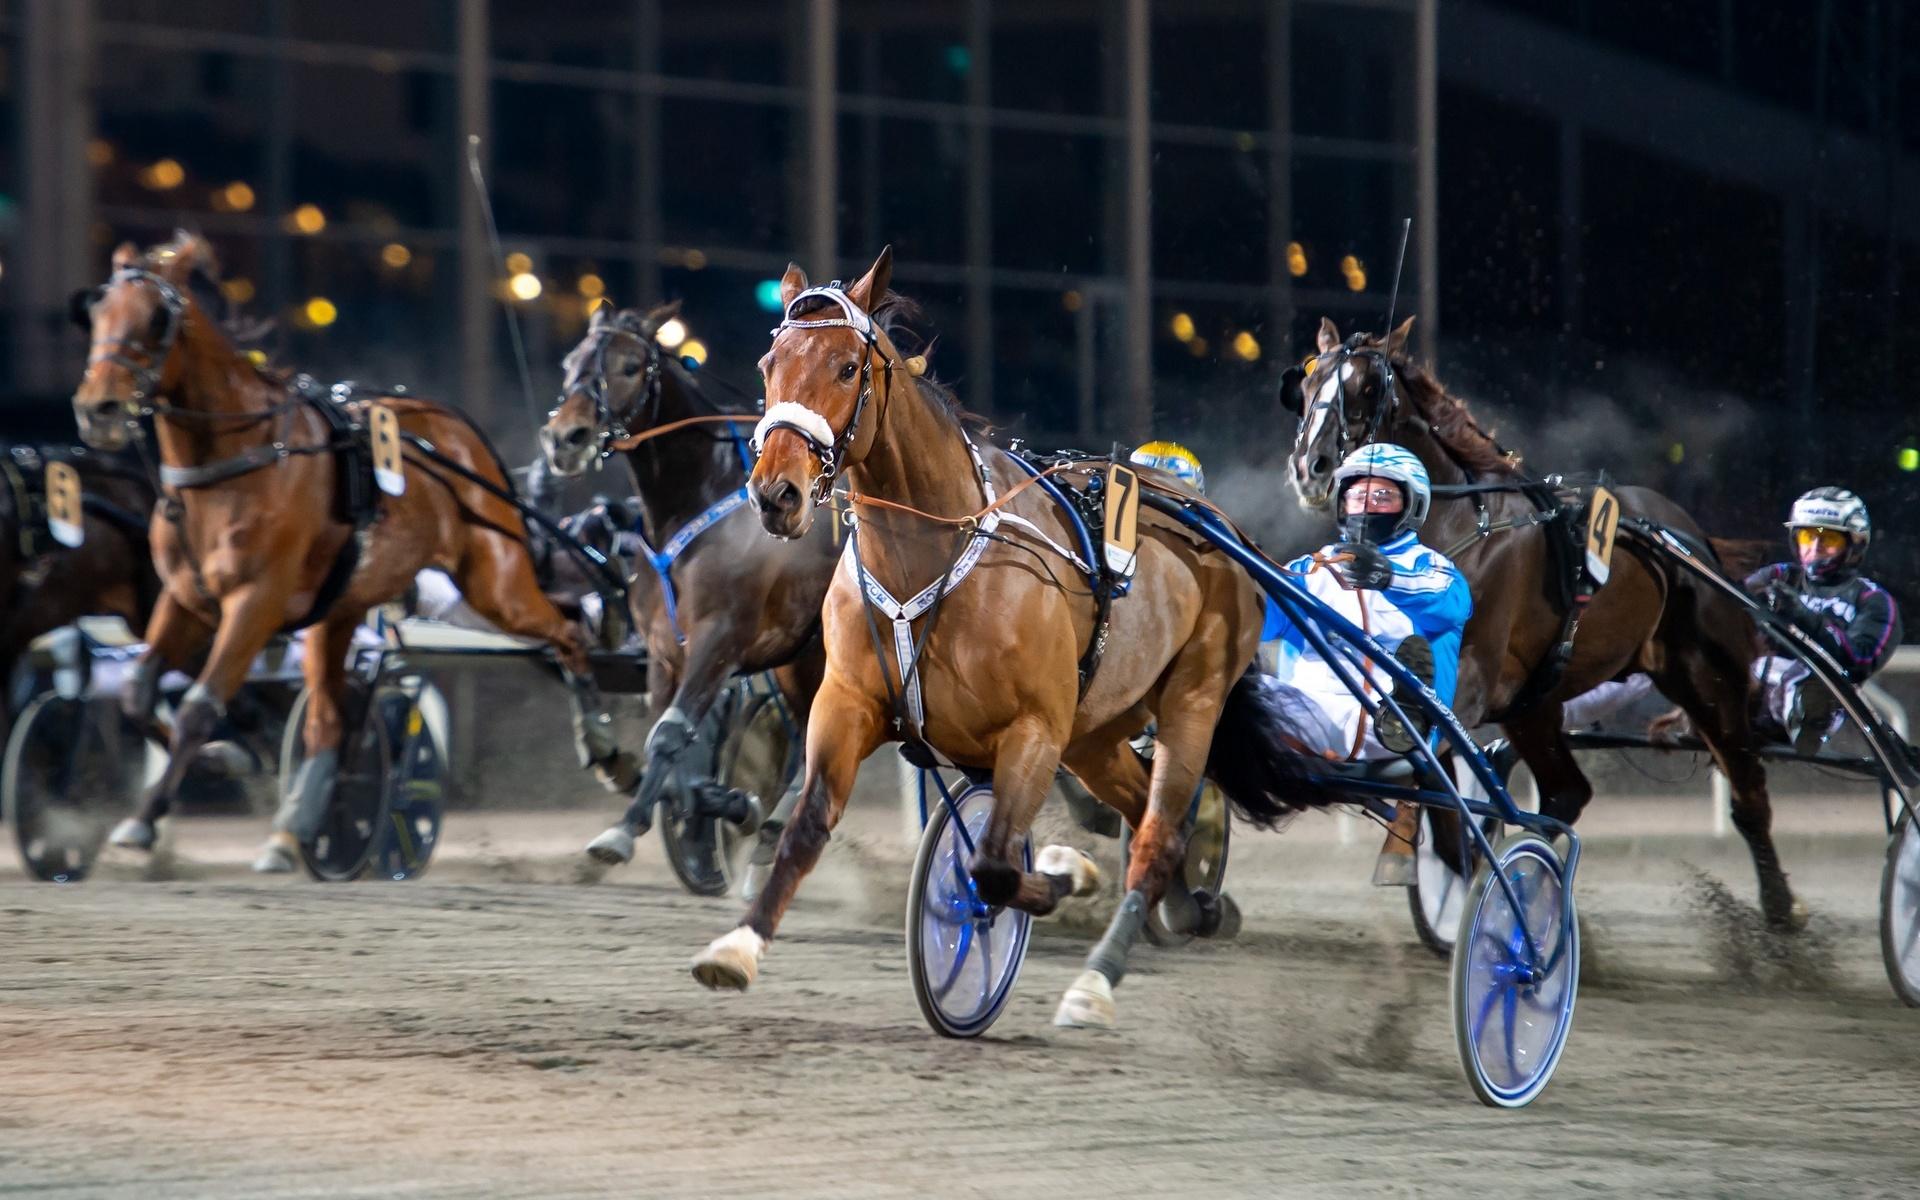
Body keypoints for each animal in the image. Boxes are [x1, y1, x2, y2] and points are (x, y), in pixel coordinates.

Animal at [72, 234, 637, 871]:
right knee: (327, 720)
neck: (234, 461)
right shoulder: (187, 598)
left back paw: (604, 744)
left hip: (495, 584)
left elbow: (197, 705)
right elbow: (139, 693)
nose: (98, 409)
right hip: (338, 612)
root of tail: (456, 429)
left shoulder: (256, 602)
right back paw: (293, 830)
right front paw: (223, 757)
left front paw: (143, 820)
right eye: (97, 312)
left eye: (156, 318)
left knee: (567, 632)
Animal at [545, 303, 837, 875]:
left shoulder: (720, 639)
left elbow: (670, 735)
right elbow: (668, 748)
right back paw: (771, 828)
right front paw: (727, 802)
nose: (568, 437)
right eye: (571, 362)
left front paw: (622, 831)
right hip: (800, 656)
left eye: (631, 366)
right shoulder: (664, 653)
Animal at [691, 247, 1305, 1021]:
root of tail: (1213, 519)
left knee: (1159, 835)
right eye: (769, 362)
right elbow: (807, 825)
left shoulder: (1034, 730)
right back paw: (1189, 908)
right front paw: (736, 947)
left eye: (846, 367)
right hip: (1096, 734)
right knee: (1144, 810)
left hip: (1192, 699)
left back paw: (1098, 978)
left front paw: (1062, 878)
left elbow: (990, 865)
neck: (937, 555)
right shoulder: (846, 701)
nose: (776, 494)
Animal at [1282, 318, 1789, 925]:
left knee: (1750, 795)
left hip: (1709, 680)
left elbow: (1428, 759)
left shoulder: (1472, 683)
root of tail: (1690, 536)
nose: (1311, 469)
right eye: (1307, 386)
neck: (1452, 526)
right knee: (1567, 792)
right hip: (1536, 704)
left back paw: (1781, 917)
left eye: (1366, 387)